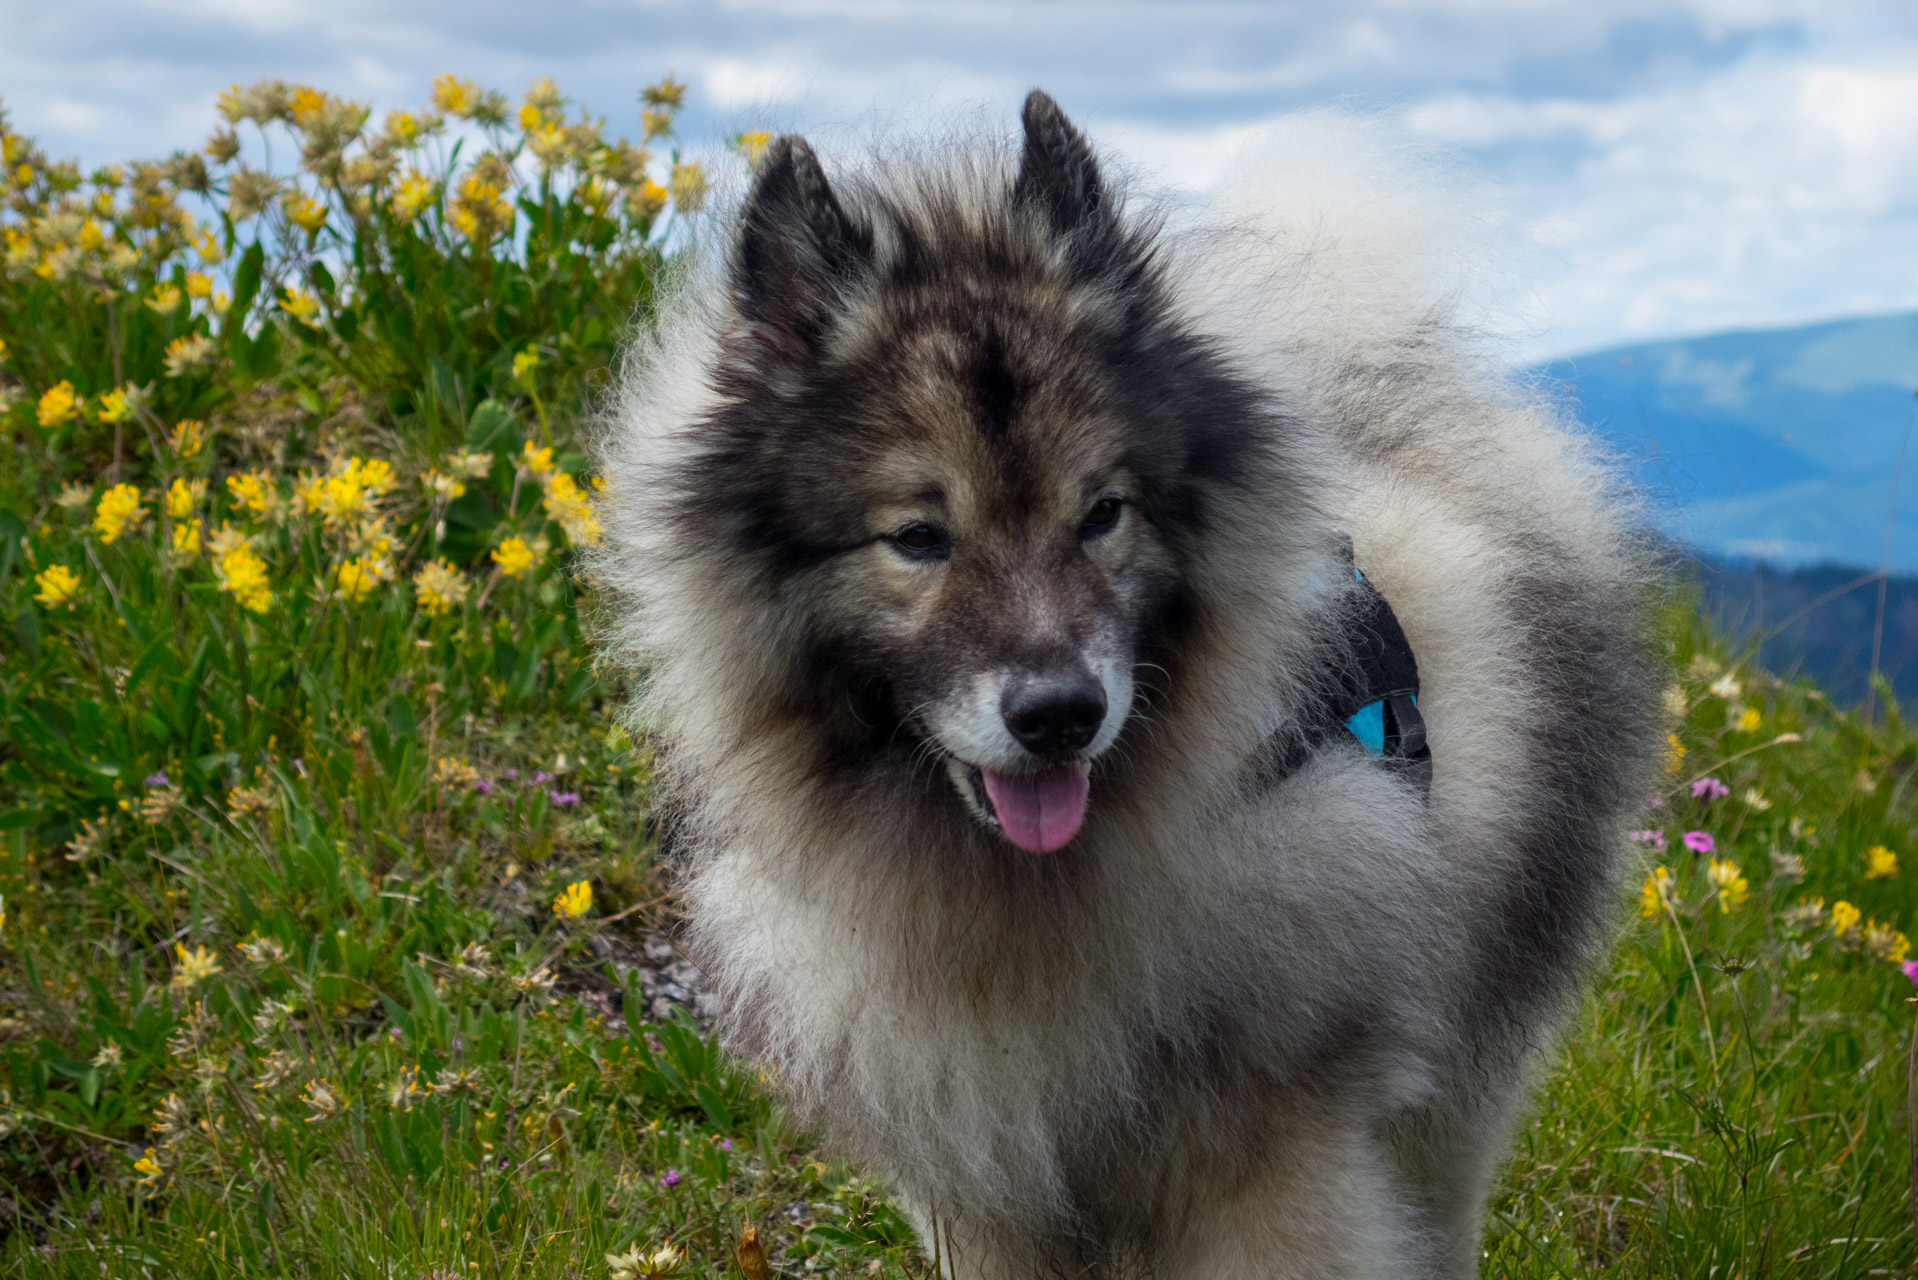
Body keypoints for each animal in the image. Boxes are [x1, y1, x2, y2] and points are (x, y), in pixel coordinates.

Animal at [590, 92, 1657, 1280]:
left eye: (1101, 513)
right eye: (917, 537)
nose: (1059, 716)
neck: (1029, 895)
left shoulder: (1276, 1163)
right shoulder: (989, 1179)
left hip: (1460, 1077)